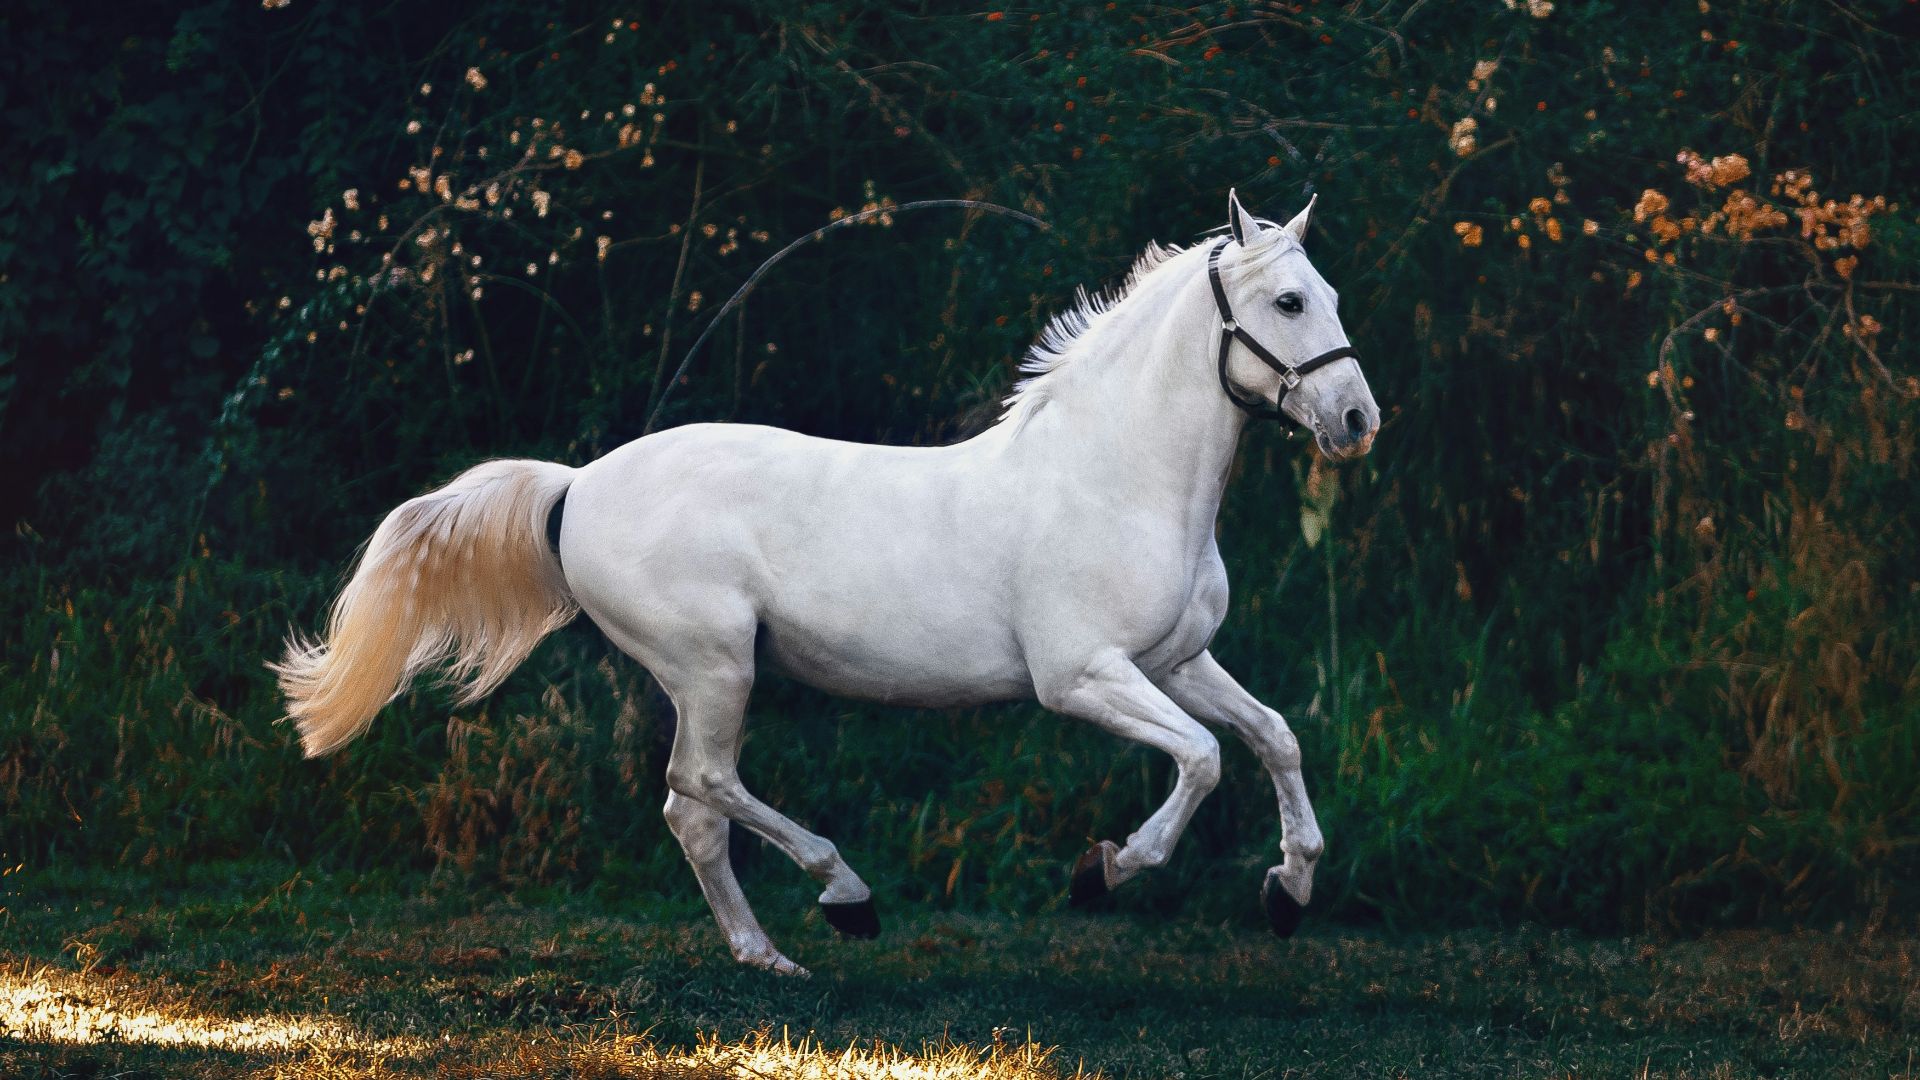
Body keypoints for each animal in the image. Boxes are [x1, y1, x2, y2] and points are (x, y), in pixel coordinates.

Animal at [274, 190, 1380, 975]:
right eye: (1289, 301)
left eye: (1331, 297)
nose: (1358, 420)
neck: (1115, 477)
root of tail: (577, 483)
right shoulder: (1083, 677)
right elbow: (1203, 759)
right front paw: (1103, 872)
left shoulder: (1178, 660)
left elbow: (1273, 737)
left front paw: (1289, 891)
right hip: (714, 666)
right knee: (702, 786)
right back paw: (844, 897)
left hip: (708, 676)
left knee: (690, 812)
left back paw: (768, 956)